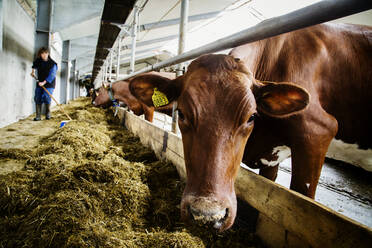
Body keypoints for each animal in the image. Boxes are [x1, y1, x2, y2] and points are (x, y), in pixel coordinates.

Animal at [129, 23, 372, 231]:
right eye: (181, 113)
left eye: (252, 116)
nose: (207, 215)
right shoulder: (272, 158)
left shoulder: (317, 132)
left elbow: (304, 193)